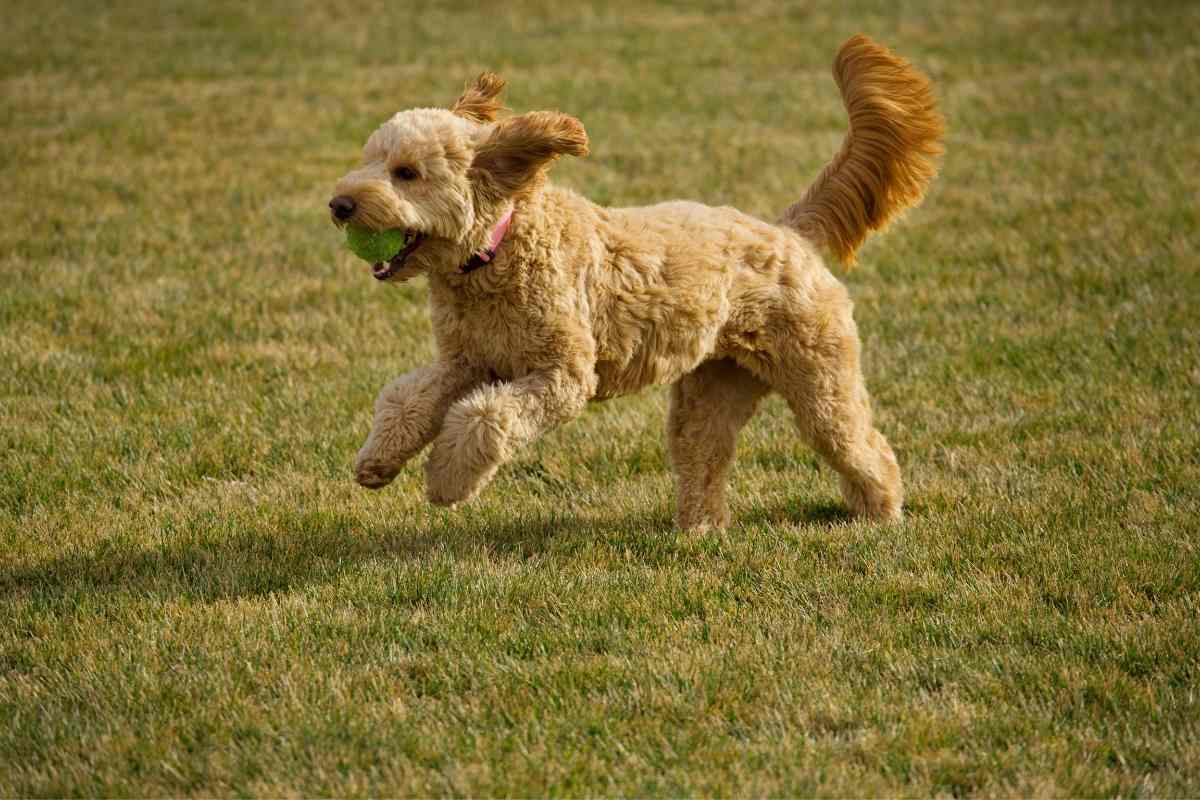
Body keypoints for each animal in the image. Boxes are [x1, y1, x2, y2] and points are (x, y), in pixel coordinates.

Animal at [331, 34, 945, 527]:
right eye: (369, 160)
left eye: (406, 173)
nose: (339, 204)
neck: (497, 249)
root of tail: (790, 231)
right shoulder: (467, 362)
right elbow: (405, 399)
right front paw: (377, 462)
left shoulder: (561, 375)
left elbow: (485, 417)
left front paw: (445, 481)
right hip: (712, 389)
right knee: (704, 458)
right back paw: (699, 530)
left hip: (819, 376)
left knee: (860, 443)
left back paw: (881, 513)